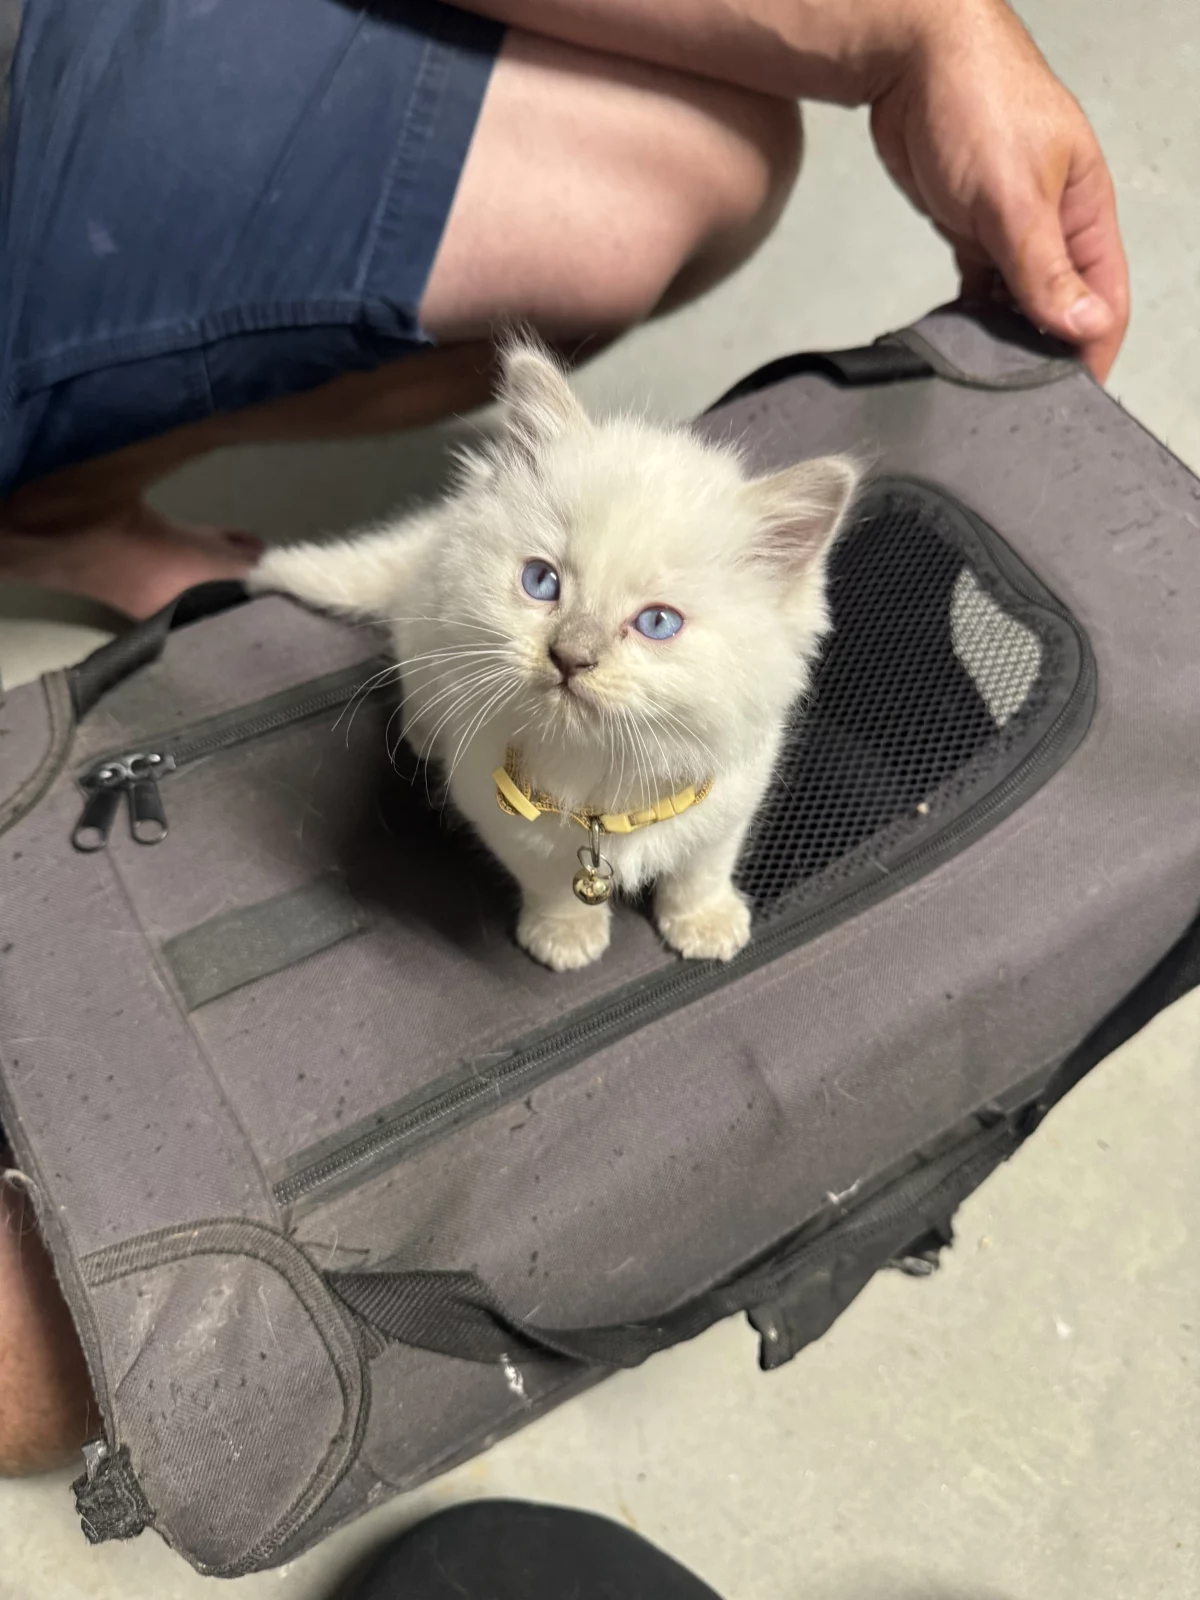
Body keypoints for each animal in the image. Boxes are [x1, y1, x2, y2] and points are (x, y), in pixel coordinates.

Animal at [252, 343, 858, 971]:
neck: (601, 782)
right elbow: (547, 880)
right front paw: (566, 936)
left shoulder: (734, 794)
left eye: (658, 623)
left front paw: (704, 923)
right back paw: (423, 734)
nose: (570, 656)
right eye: (541, 582)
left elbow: (701, 867)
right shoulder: (497, 809)